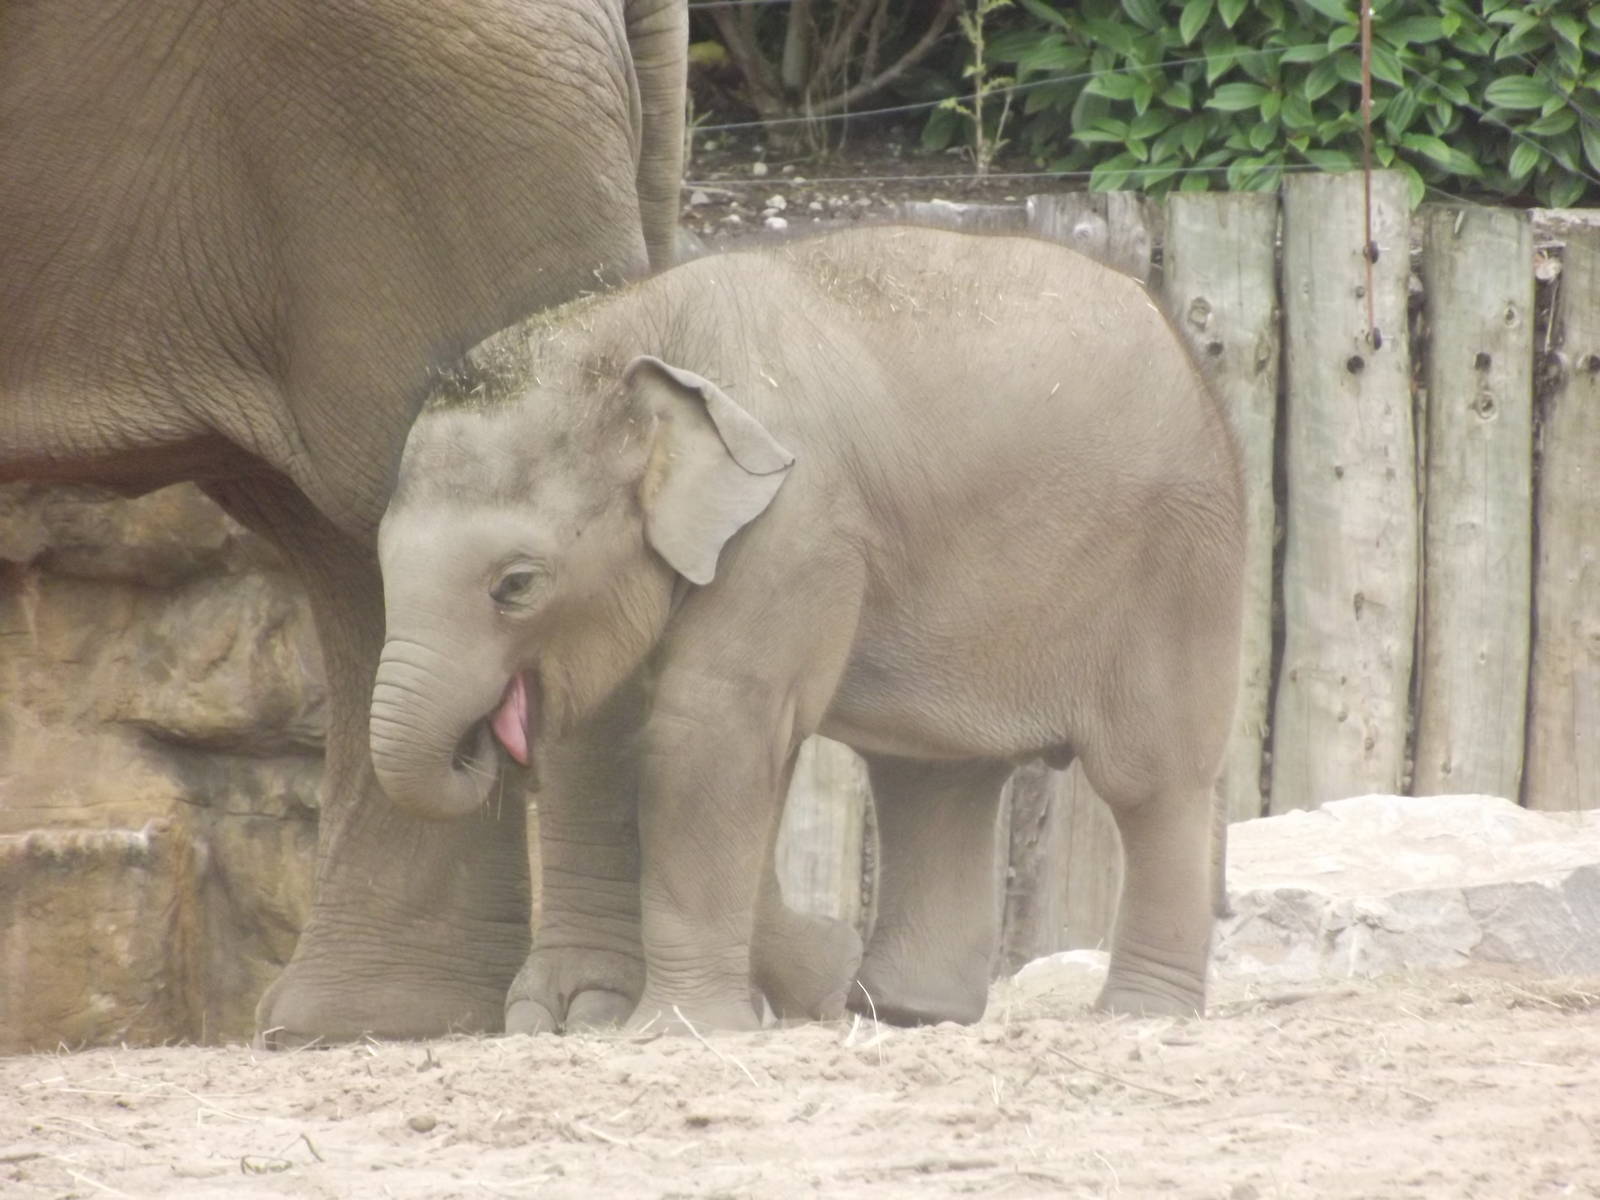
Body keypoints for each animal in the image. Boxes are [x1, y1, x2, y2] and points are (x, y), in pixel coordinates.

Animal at [372, 224, 1247, 1031]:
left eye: (515, 586)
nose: (485, 737)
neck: (637, 327)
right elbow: (636, 742)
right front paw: (821, 972)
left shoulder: (796, 522)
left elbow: (707, 734)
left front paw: (681, 1029)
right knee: (935, 779)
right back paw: (903, 1011)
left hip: (1178, 565)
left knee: (1150, 779)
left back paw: (1140, 1016)